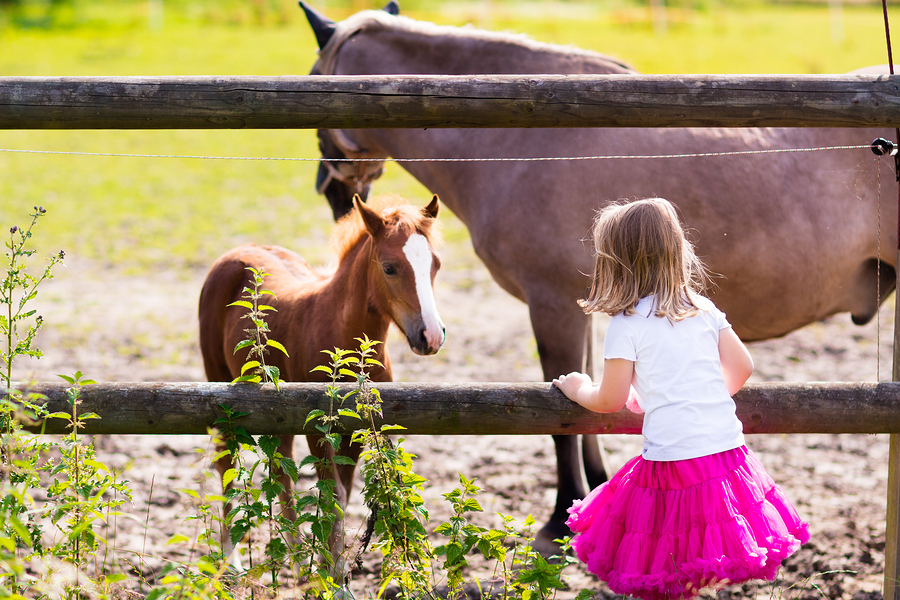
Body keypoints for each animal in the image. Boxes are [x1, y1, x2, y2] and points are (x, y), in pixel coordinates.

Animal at [198, 193, 444, 562]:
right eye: (389, 267)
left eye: (436, 264)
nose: (431, 336)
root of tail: (236, 253)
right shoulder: (318, 425)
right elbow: (332, 496)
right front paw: (333, 572)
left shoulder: (358, 428)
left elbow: (342, 494)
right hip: (219, 388)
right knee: (227, 463)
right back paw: (232, 559)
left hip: (278, 416)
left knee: (280, 469)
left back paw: (298, 561)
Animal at [299, 2, 898, 552]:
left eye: (314, 79)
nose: (329, 193)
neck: (524, 141)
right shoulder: (585, 310)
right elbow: (590, 397)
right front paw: (592, 491)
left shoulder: (552, 307)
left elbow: (561, 414)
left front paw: (560, 516)